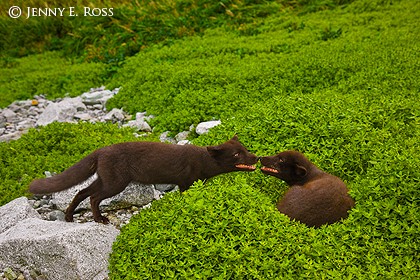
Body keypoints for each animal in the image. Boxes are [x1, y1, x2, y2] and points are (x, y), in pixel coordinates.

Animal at [29, 136, 258, 223]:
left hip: (105, 179)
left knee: (81, 191)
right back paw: (100, 219)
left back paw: (69, 217)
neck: (203, 162)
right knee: (93, 197)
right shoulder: (185, 183)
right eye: (237, 155)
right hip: (115, 183)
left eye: (245, 149)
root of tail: (100, 150)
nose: (256, 157)